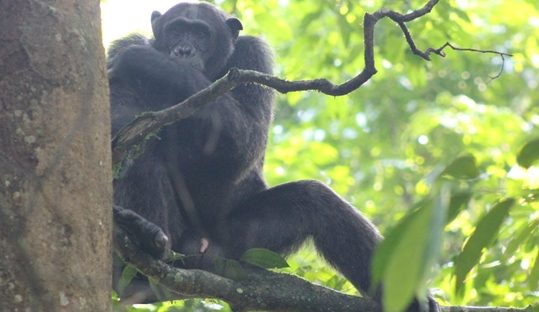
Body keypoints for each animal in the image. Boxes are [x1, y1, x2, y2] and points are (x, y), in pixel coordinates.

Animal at [108, 1, 438, 310]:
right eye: (176, 29)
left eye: (201, 33)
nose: (184, 49)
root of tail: (196, 246)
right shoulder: (119, 47)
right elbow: (115, 126)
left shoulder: (254, 57)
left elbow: (247, 138)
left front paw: (149, 62)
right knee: (141, 151)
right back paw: (145, 246)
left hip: (239, 246)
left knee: (318, 202)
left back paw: (412, 301)